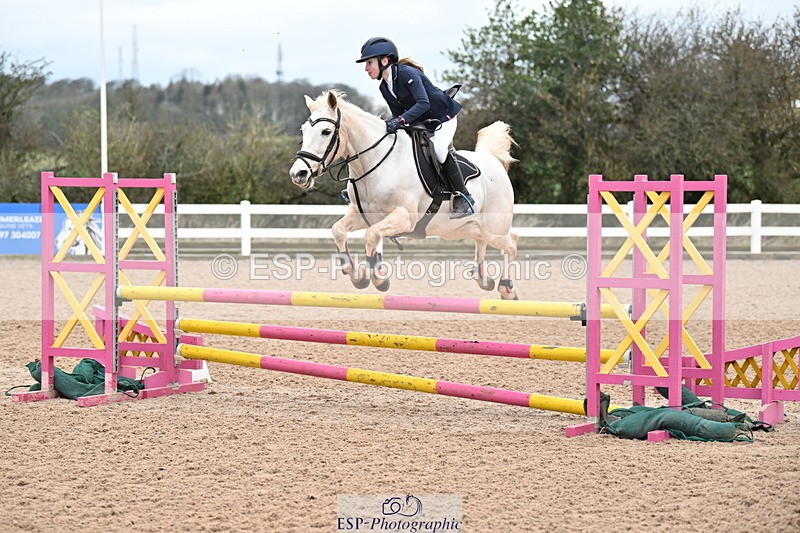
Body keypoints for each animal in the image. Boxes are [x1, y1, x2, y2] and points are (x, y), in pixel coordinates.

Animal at [289, 90, 520, 300]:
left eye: (326, 131)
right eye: (303, 130)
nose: (298, 174)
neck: (375, 161)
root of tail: (492, 159)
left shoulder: (405, 217)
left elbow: (371, 235)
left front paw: (379, 280)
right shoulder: (362, 214)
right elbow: (338, 231)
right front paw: (357, 276)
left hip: (494, 228)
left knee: (511, 243)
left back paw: (506, 288)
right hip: (462, 229)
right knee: (481, 242)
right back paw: (485, 280)